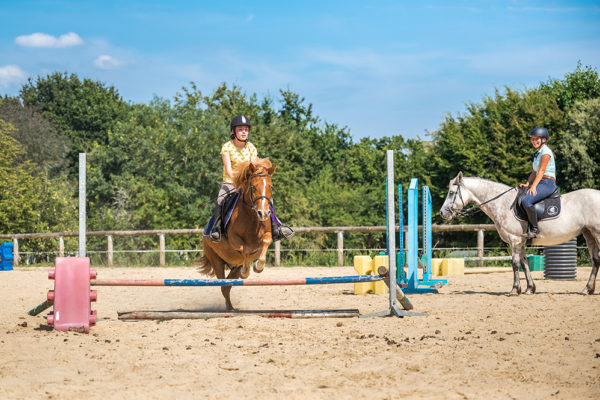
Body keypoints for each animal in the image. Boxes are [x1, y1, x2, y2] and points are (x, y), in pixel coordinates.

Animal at [200, 159, 278, 310]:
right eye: (253, 187)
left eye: (271, 187)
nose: (264, 214)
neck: (252, 216)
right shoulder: (234, 239)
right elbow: (245, 249)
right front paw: (246, 272)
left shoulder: (266, 234)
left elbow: (266, 242)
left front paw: (258, 267)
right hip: (215, 259)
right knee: (223, 286)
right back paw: (229, 308)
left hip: (234, 266)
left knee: (228, 285)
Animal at [438, 170, 596, 296]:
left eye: (451, 193)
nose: (442, 213)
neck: (503, 203)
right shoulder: (521, 242)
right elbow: (524, 263)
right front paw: (530, 288)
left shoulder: (514, 240)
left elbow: (514, 264)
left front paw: (515, 289)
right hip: (589, 234)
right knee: (596, 260)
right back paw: (587, 289)